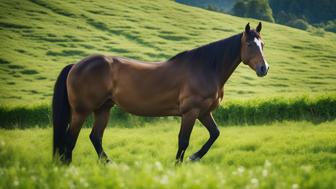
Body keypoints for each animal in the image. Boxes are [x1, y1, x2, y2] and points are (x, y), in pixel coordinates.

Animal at [52, 22, 270, 164]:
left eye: (263, 44)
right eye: (250, 44)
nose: (264, 68)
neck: (206, 67)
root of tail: (76, 65)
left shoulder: (204, 112)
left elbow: (215, 134)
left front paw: (193, 158)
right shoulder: (190, 113)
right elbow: (183, 141)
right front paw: (179, 165)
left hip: (103, 109)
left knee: (95, 138)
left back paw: (109, 164)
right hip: (81, 111)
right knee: (70, 140)